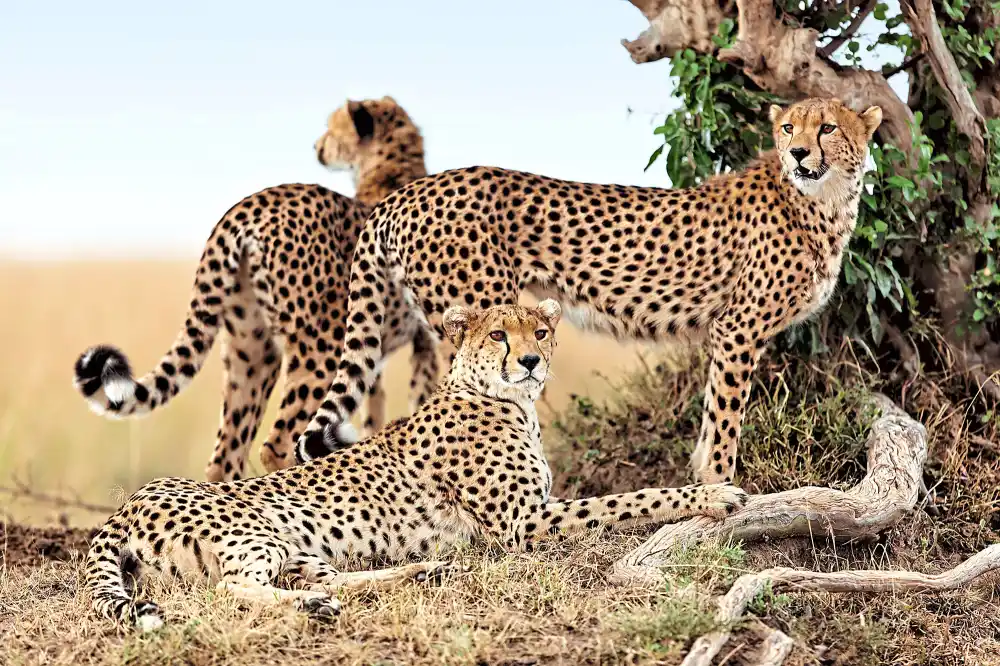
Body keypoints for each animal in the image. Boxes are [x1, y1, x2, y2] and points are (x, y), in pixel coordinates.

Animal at [72, 96, 439, 482]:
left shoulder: (375, 354)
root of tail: (249, 203)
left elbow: (376, 410)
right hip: (318, 350)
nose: (316, 146)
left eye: (330, 128)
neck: (389, 168)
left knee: (226, 454)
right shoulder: (421, 341)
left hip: (250, 352)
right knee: (278, 444)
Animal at [85, 300, 747, 631]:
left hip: (297, 546)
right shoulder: (522, 525)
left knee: (325, 579)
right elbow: (627, 499)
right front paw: (716, 495)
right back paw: (315, 607)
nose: (531, 360)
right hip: (259, 532)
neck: (505, 399)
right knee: (232, 589)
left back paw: (419, 573)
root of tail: (133, 499)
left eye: (538, 330)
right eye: (498, 336)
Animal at [293, 98, 883, 485]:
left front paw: (701, 478)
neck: (820, 200)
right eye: (788, 127)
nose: (799, 153)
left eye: (828, 128)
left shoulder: (729, 333)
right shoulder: (738, 329)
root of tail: (411, 190)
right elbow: (724, 417)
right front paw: (718, 488)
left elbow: (711, 415)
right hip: (483, 316)